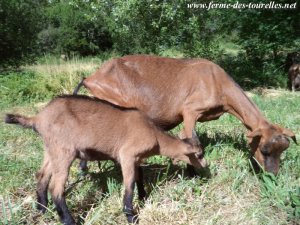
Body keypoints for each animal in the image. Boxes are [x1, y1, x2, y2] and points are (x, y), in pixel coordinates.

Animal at [74, 55, 296, 175]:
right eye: (265, 150)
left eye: (284, 149)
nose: (272, 175)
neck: (217, 81)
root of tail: (91, 78)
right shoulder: (190, 111)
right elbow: (191, 139)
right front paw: (194, 171)